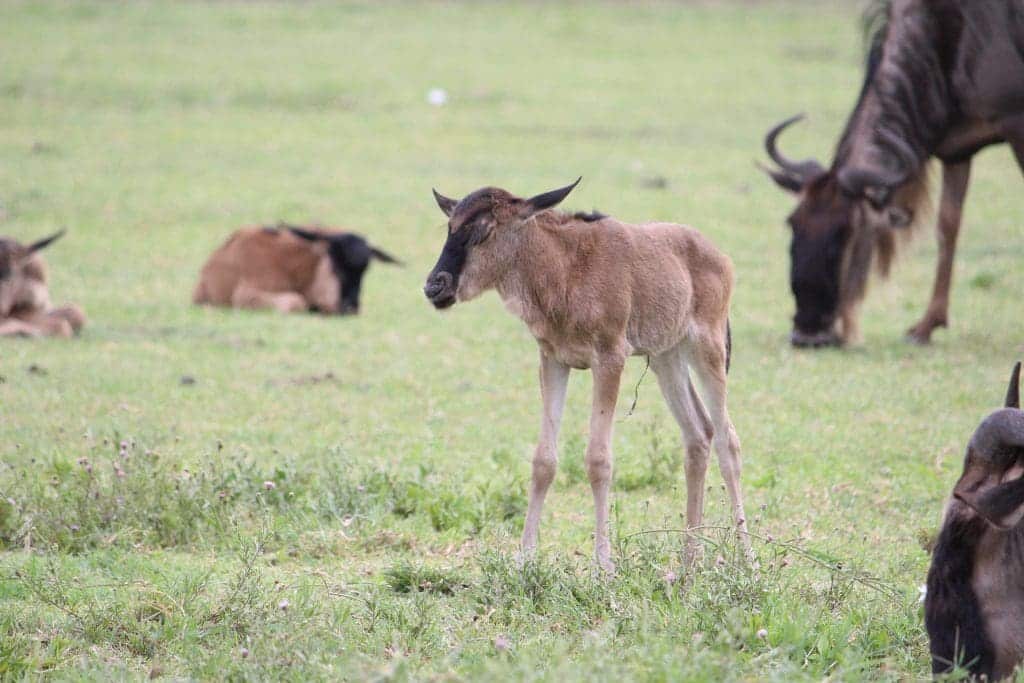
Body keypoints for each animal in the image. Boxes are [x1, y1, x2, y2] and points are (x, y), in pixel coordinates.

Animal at [423, 179, 750, 571]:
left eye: (483, 231)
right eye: (450, 226)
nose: (435, 287)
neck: (565, 268)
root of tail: (719, 256)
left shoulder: (609, 359)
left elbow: (598, 460)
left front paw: (603, 566)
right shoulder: (553, 361)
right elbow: (544, 461)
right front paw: (524, 560)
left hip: (708, 349)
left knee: (728, 442)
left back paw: (749, 561)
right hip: (665, 358)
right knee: (698, 436)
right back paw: (688, 562)